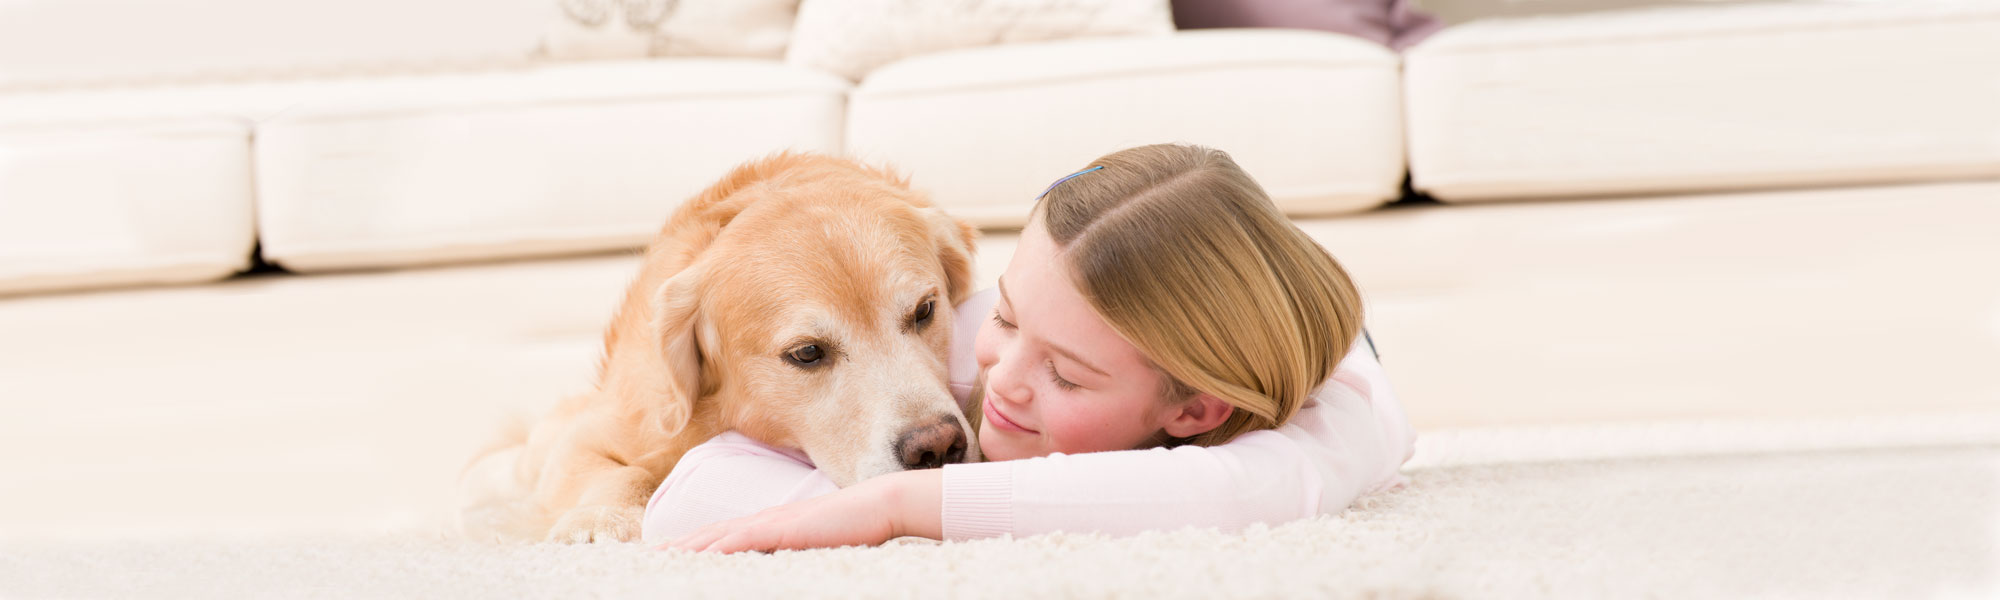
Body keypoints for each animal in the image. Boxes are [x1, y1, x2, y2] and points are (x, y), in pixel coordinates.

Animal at [456, 152, 984, 540]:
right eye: (807, 353)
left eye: (924, 310)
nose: (936, 447)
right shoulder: (606, 429)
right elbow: (618, 471)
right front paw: (599, 519)